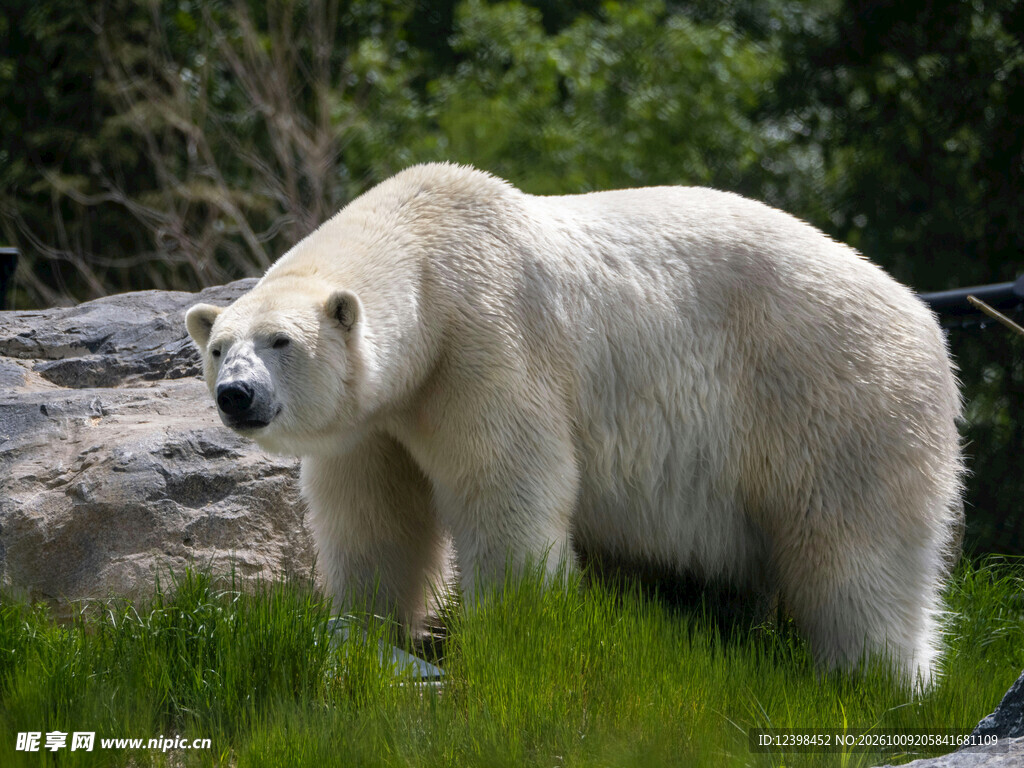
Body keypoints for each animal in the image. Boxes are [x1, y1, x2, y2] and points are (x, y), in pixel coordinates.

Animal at [185, 162, 963, 686]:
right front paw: (367, 627)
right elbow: (375, 516)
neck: (429, 251)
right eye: (219, 345)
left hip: (833, 398)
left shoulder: (486, 343)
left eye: (281, 341)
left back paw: (876, 678)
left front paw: (520, 631)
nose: (237, 396)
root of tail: (925, 321)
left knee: (856, 551)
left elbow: (508, 486)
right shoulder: (379, 418)